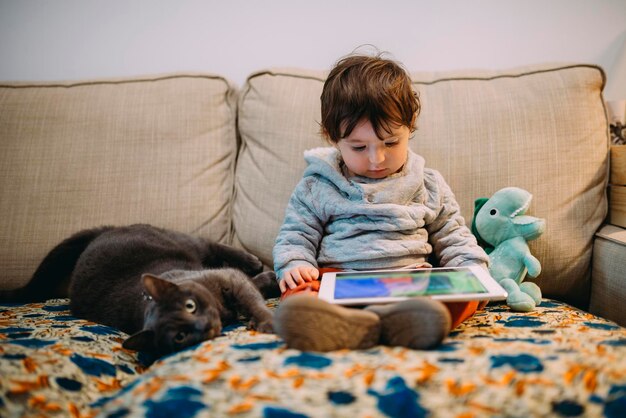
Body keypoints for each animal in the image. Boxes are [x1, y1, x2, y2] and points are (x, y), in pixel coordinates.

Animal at [1, 225, 276, 356]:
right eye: (180, 337)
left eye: (190, 306)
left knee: (211, 245)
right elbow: (252, 289)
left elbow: (251, 294)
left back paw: (253, 262)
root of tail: (104, 232)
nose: (202, 326)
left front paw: (265, 317)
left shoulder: (228, 278)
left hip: (185, 243)